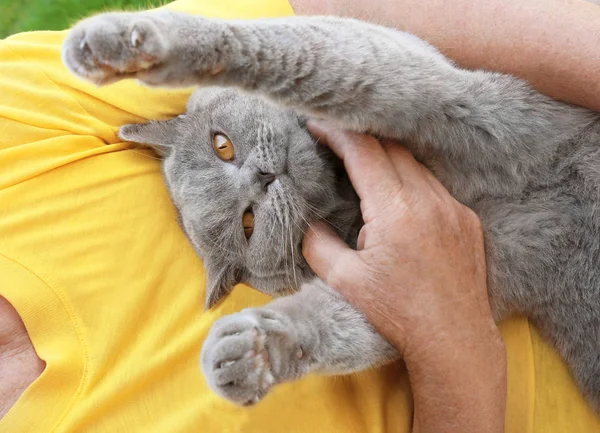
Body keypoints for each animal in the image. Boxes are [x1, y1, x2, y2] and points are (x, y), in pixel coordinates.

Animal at [62, 9, 600, 408]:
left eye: (222, 145)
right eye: (248, 223)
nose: (262, 178)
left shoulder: (437, 92)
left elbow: (309, 59)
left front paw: (126, 43)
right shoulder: (453, 282)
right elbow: (355, 321)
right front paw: (250, 353)